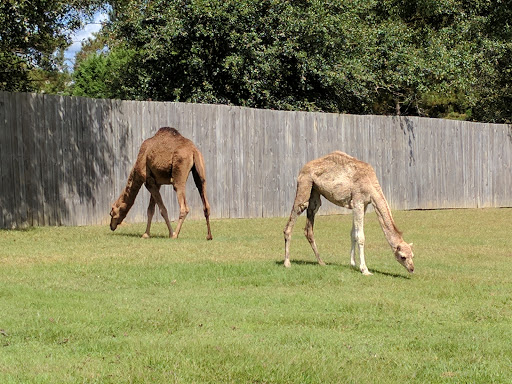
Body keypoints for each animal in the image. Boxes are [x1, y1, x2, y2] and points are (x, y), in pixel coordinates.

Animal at [282, 152, 414, 274]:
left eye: (412, 255)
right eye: (403, 256)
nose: (412, 268)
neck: (370, 183)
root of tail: (302, 168)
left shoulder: (363, 204)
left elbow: (353, 233)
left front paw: (353, 263)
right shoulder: (358, 201)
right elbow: (360, 237)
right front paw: (364, 269)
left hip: (315, 191)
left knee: (309, 225)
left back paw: (321, 262)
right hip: (304, 184)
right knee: (297, 211)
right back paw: (287, 263)